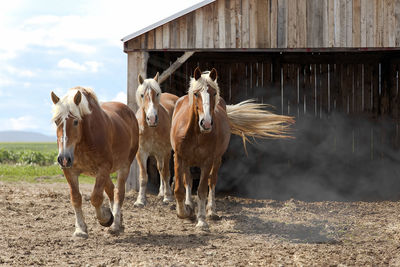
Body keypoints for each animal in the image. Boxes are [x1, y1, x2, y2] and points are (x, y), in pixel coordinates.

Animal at [50, 86, 139, 239]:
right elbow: (76, 198)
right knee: (111, 190)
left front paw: (106, 218)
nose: (64, 158)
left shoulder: (103, 168)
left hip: (124, 166)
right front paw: (80, 229)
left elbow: (96, 198)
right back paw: (119, 221)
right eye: (56, 121)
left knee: (119, 193)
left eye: (76, 121)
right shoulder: (70, 171)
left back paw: (115, 225)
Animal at [134, 73, 178, 207]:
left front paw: (168, 197)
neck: (151, 129)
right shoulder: (141, 152)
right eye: (142, 95)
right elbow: (143, 177)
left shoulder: (166, 151)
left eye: (157, 94)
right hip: (157, 154)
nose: (152, 118)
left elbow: (166, 173)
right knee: (160, 168)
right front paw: (140, 200)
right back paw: (161, 192)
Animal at [170, 67, 294, 230]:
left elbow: (202, 190)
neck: (196, 133)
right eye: (196, 93)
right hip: (187, 161)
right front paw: (185, 211)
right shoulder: (179, 157)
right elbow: (179, 188)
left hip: (216, 160)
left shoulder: (208, 161)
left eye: (214, 93)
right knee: (189, 180)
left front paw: (202, 220)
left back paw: (211, 211)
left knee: (211, 181)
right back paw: (189, 205)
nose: (206, 123)